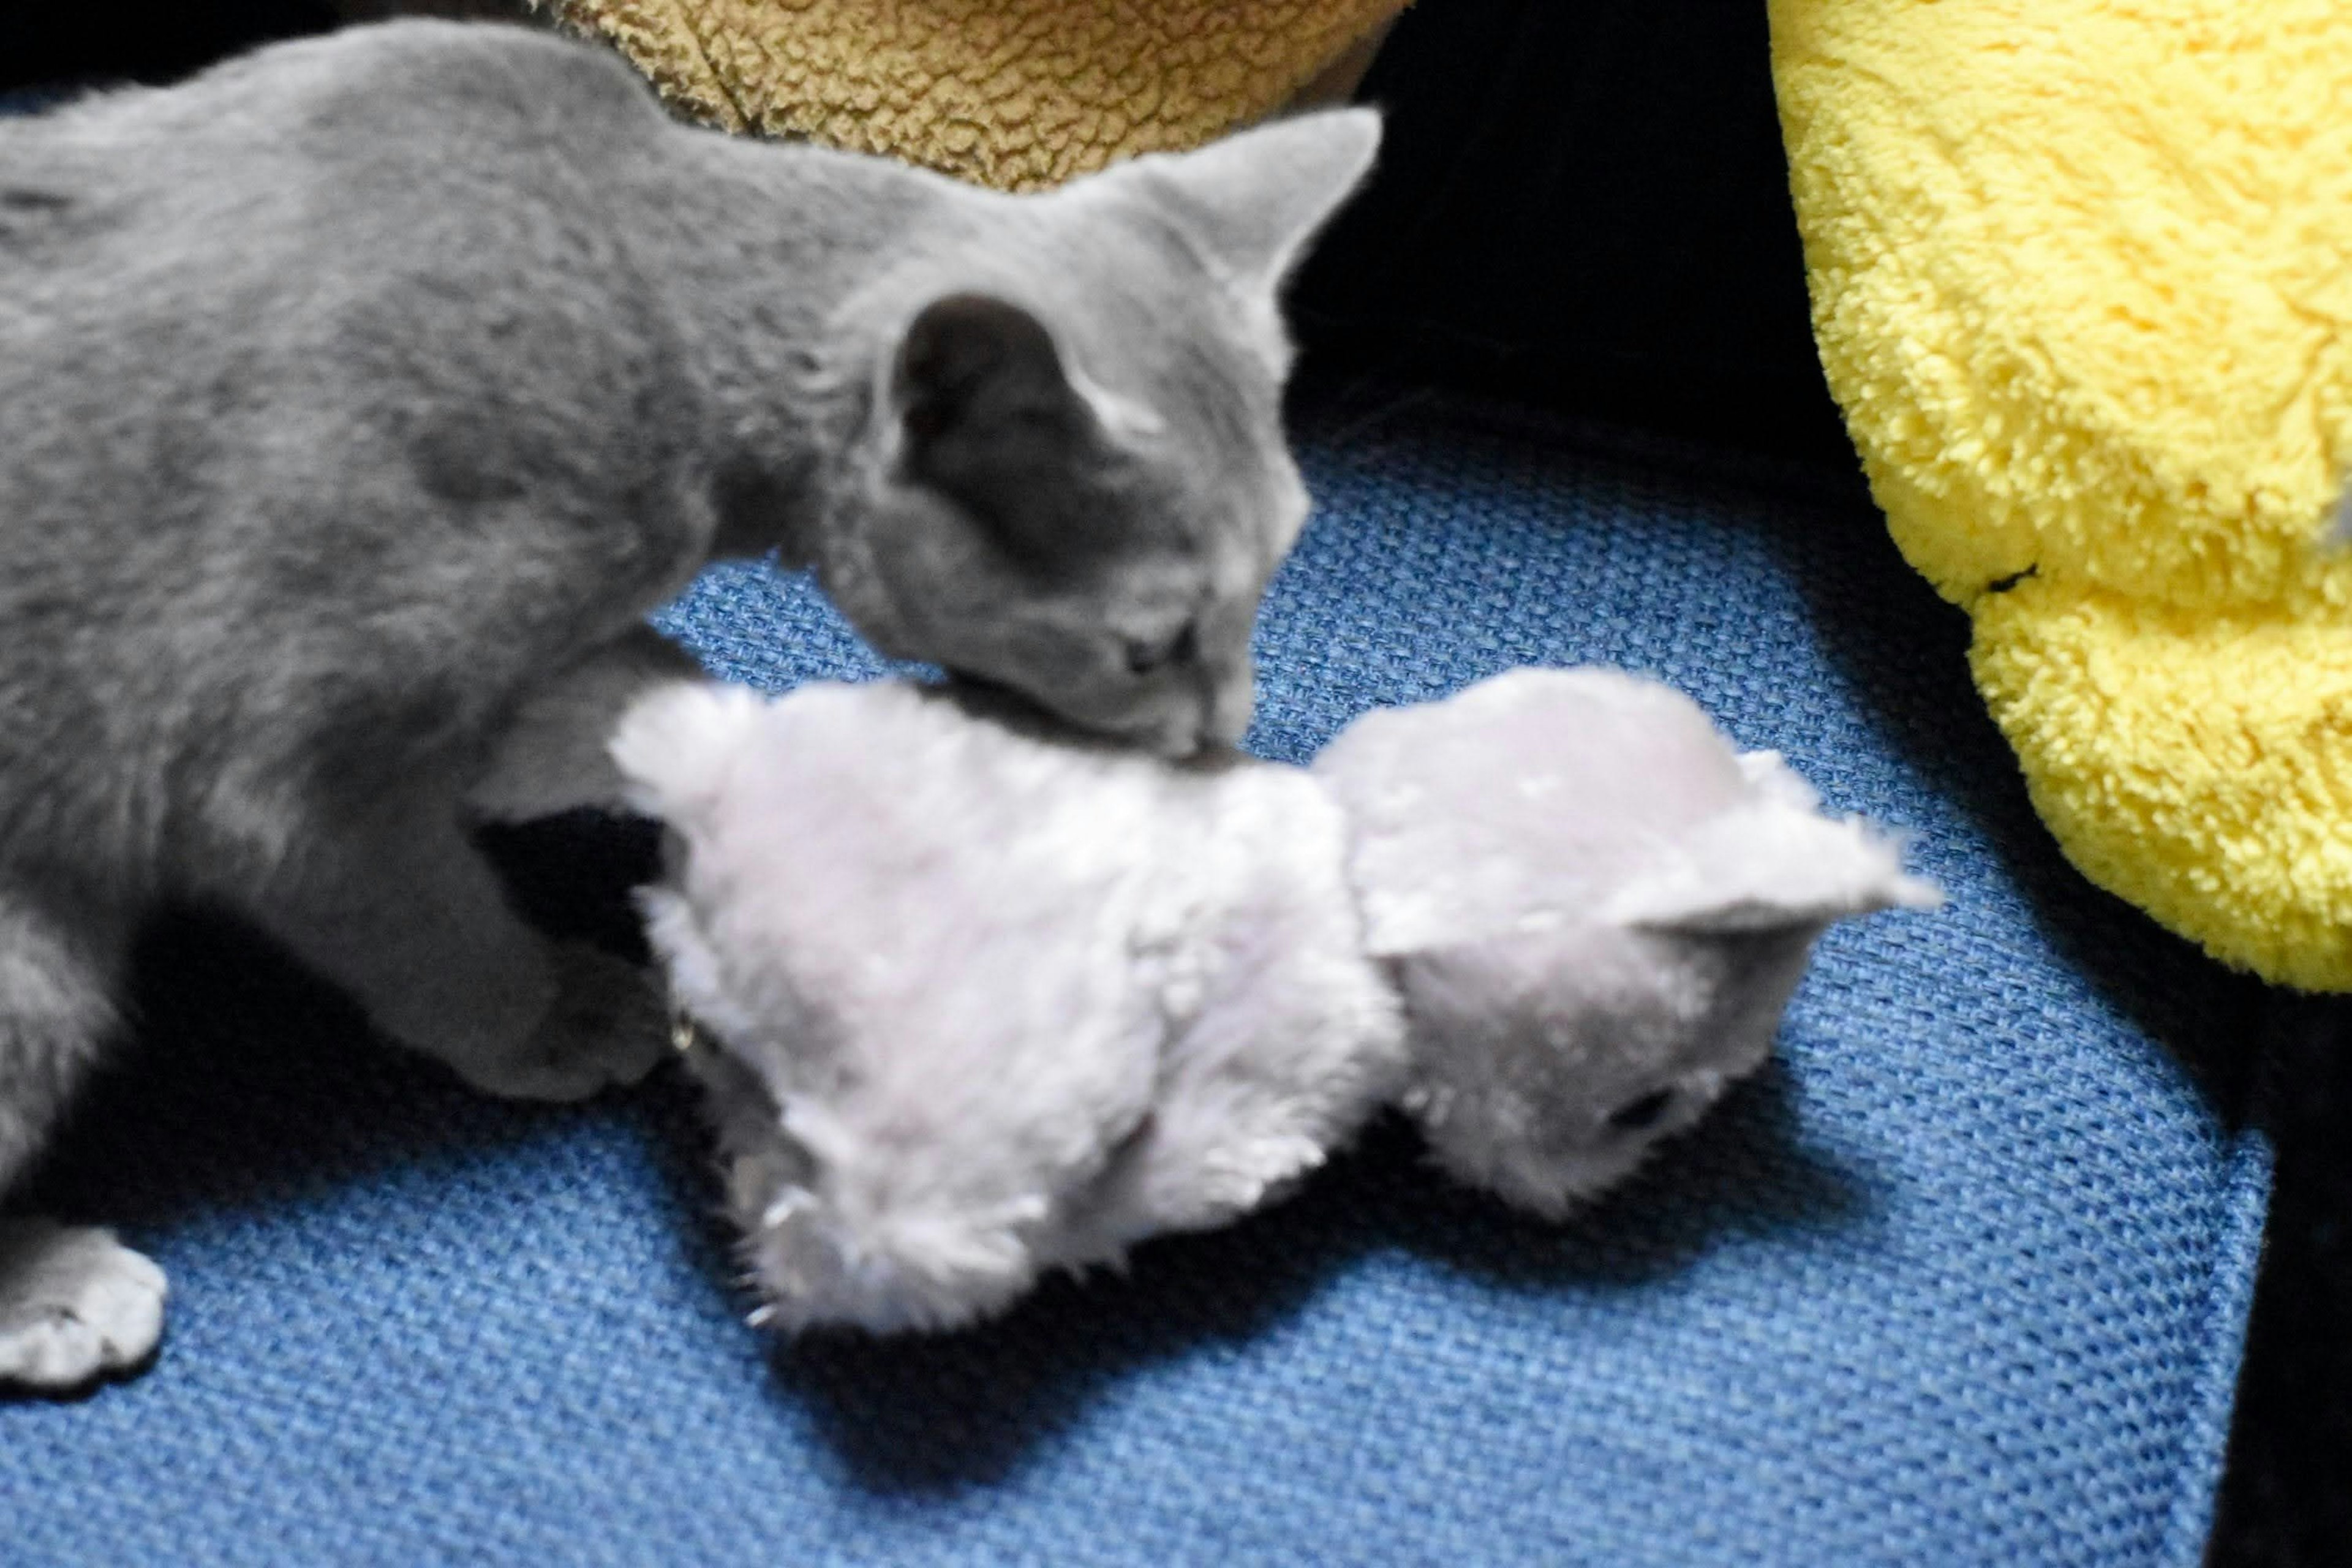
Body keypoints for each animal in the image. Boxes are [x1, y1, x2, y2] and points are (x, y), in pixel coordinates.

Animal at [0, 18, 1373, 1392]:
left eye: (1282, 563)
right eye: (1151, 649)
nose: (1222, 731)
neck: (650, 291)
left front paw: (544, 740)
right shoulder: (283, 770)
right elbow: (424, 919)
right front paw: (552, 1011)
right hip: (34, 965)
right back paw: (56, 1287)